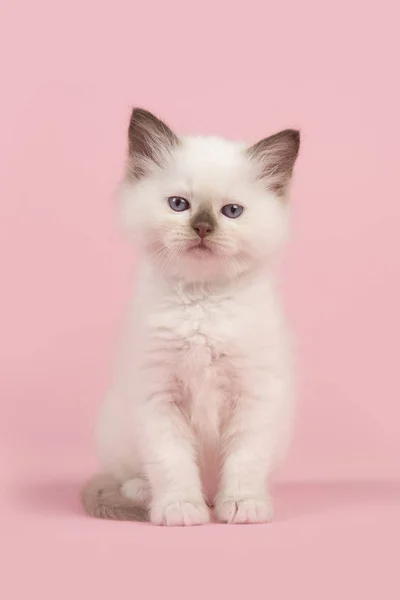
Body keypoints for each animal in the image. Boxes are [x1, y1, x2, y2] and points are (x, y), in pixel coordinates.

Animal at [82, 108, 300, 524]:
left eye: (232, 211)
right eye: (178, 204)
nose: (202, 228)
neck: (202, 302)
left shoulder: (255, 394)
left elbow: (245, 460)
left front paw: (243, 504)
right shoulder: (157, 395)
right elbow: (171, 463)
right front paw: (180, 508)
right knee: (128, 476)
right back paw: (146, 493)